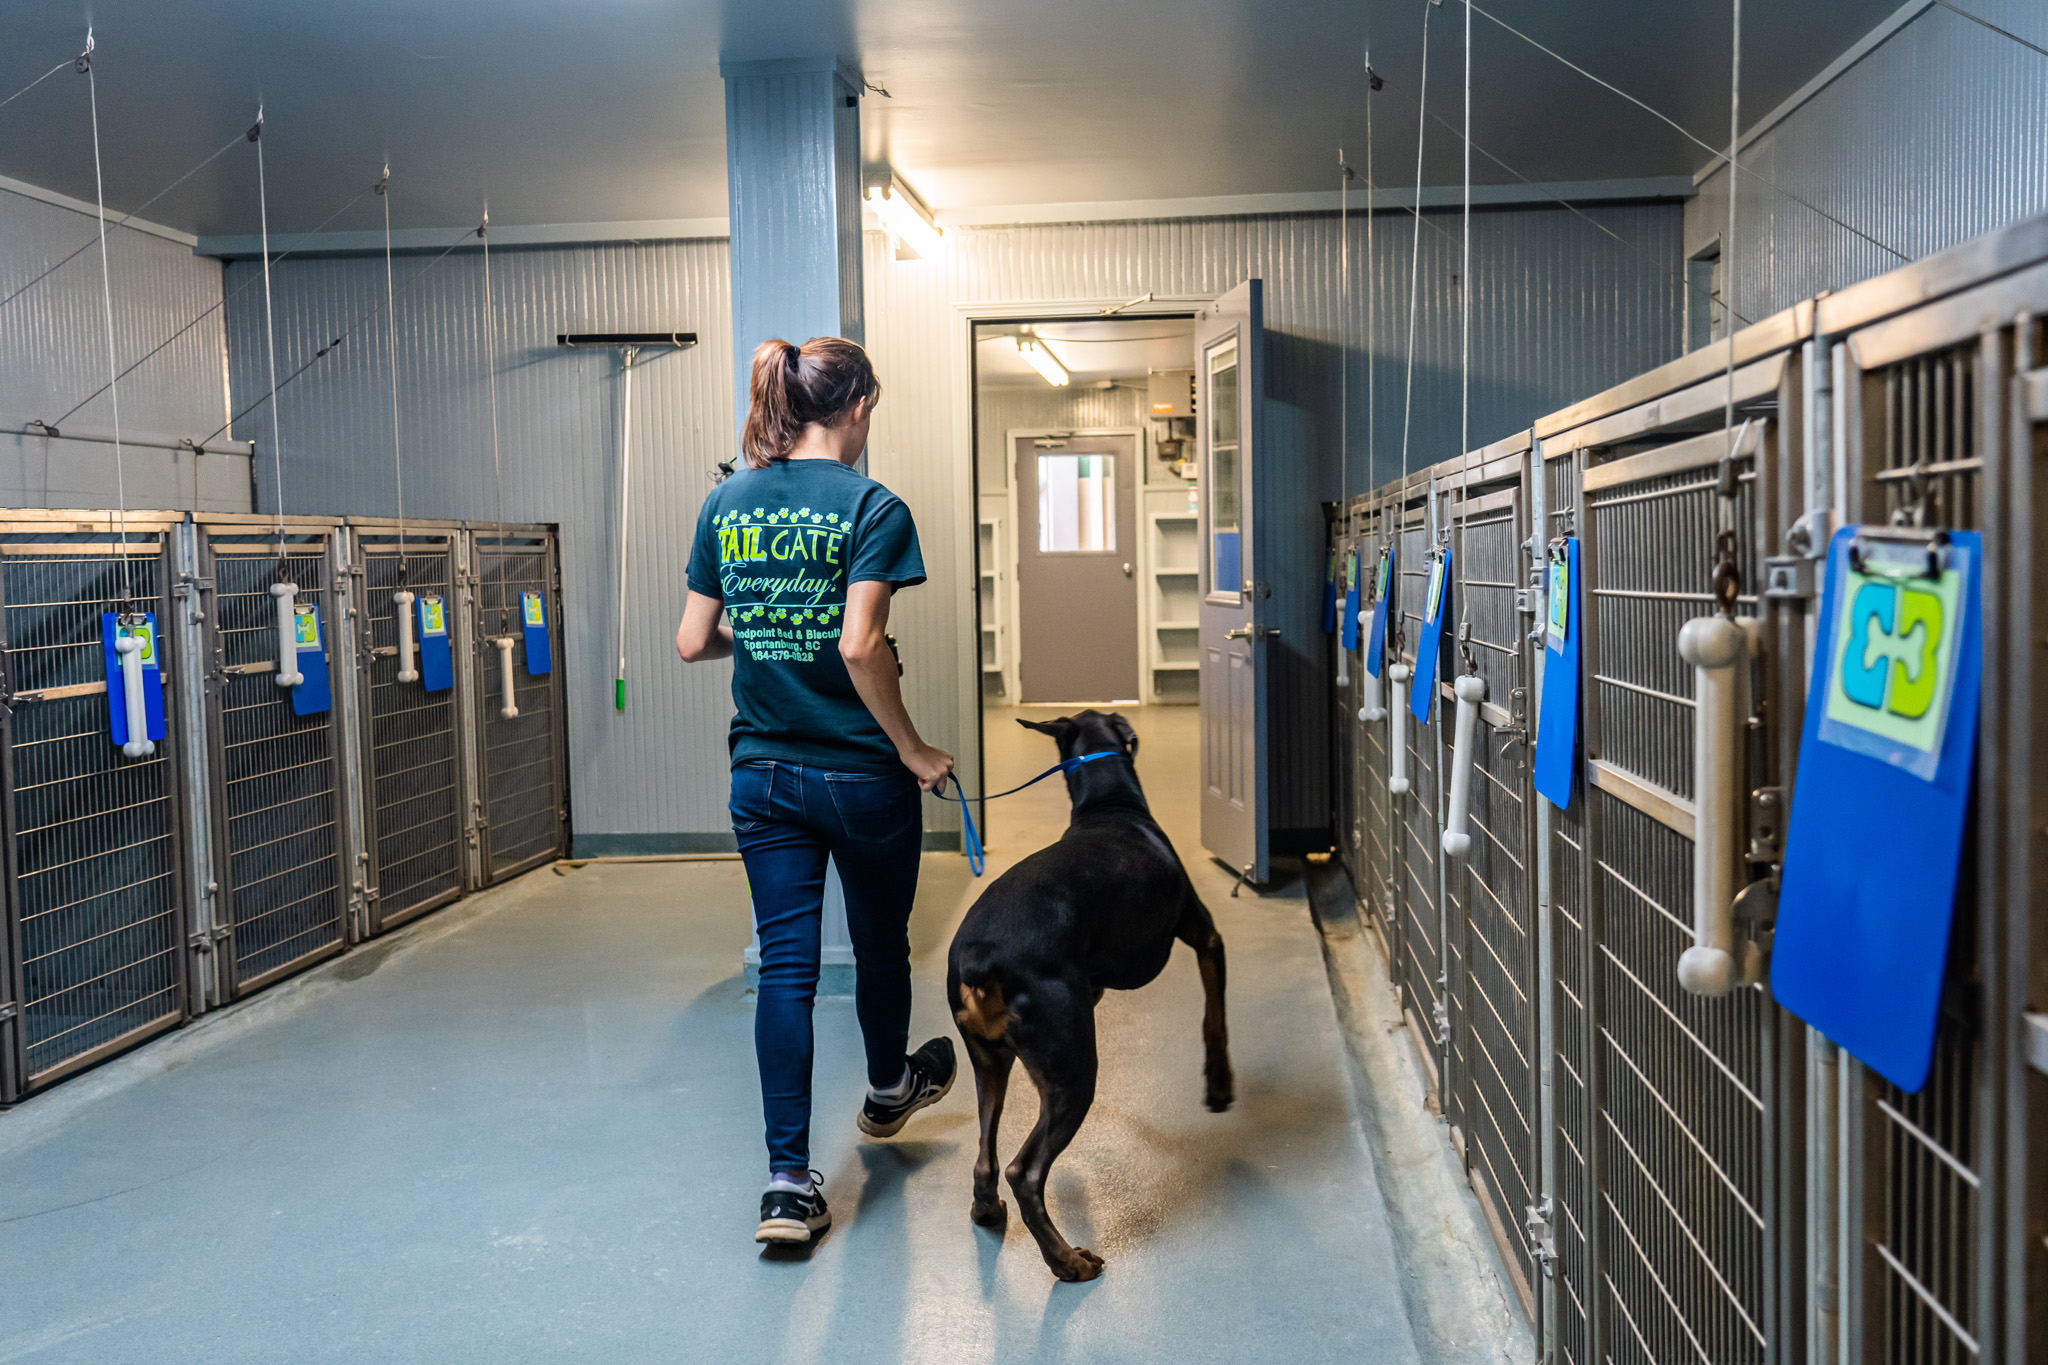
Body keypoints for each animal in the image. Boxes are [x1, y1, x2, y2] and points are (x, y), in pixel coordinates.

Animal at [946, 716, 1228, 1285]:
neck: (1110, 804)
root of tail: (979, 955)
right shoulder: (1204, 935)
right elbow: (1214, 1017)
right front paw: (1219, 1084)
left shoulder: (1092, 989)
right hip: (1072, 1069)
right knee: (1025, 1172)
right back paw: (1067, 1261)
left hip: (991, 1057)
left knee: (987, 1152)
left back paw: (986, 1210)